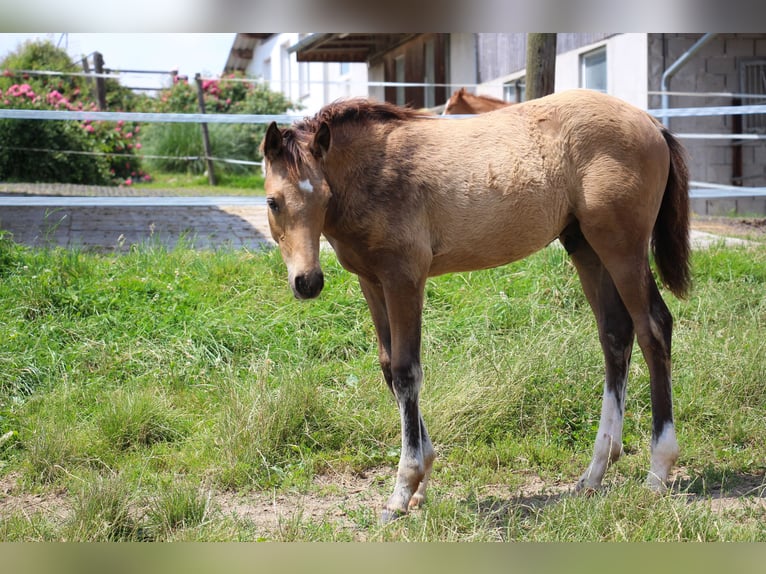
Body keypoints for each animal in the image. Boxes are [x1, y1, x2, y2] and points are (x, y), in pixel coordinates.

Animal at [260, 90, 692, 528]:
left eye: (324, 197)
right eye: (273, 202)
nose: (308, 282)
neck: (375, 171)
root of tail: (650, 122)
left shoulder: (404, 277)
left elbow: (405, 372)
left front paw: (403, 490)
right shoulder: (372, 281)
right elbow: (387, 367)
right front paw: (420, 487)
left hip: (622, 248)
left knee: (653, 328)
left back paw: (658, 471)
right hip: (584, 245)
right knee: (615, 334)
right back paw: (594, 474)